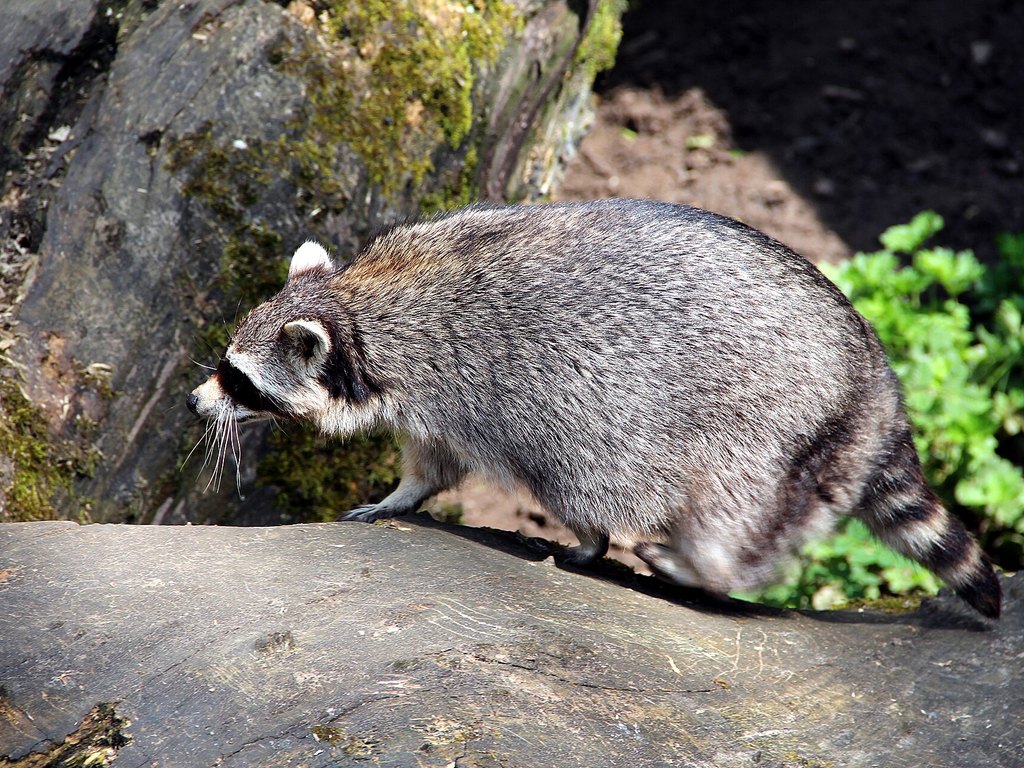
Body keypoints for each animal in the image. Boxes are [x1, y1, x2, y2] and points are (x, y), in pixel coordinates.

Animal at [187, 199, 1001, 618]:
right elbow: (431, 461)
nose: (196, 402)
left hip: (769, 424)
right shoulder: (428, 399)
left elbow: (574, 476)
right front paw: (401, 494)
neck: (360, 308)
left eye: (239, 380)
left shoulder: (491, 389)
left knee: (732, 508)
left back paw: (703, 562)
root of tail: (875, 384)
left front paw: (588, 540)